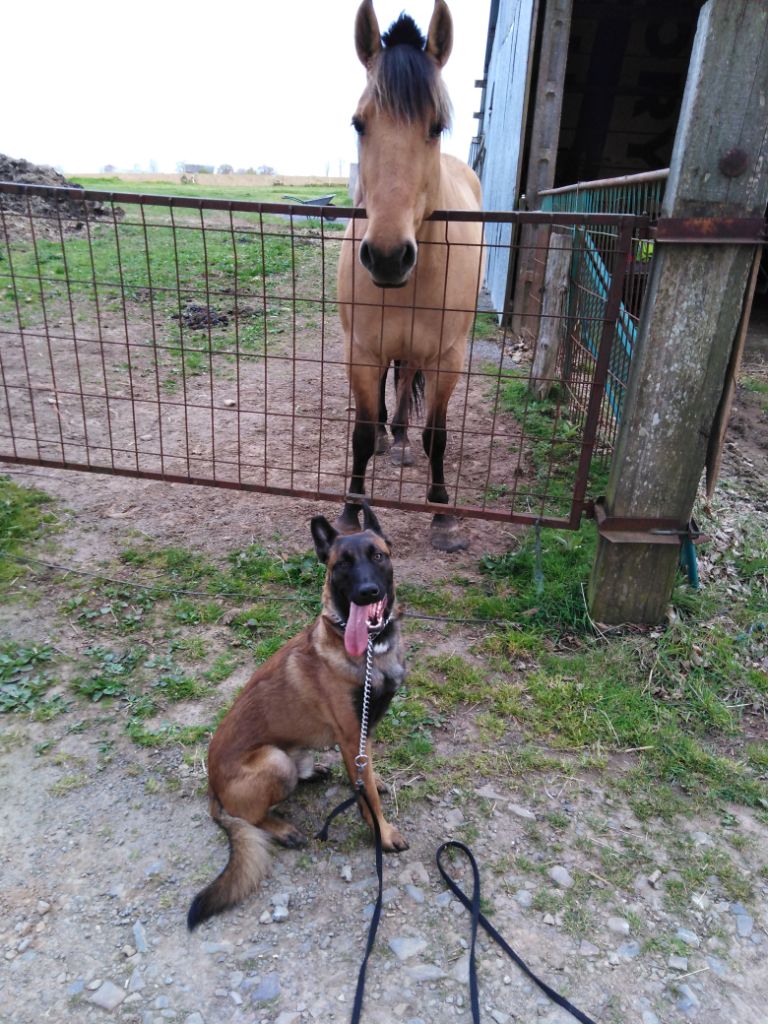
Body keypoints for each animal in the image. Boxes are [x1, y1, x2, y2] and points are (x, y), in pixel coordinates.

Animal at [186, 499, 409, 933]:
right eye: (342, 564)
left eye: (377, 556)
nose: (367, 592)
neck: (369, 651)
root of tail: (212, 788)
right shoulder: (349, 735)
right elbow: (369, 794)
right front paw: (383, 832)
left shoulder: (361, 734)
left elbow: (366, 776)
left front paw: (371, 790)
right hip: (273, 761)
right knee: (251, 818)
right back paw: (282, 829)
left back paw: (314, 772)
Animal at [337, 0, 483, 552]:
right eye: (359, 123)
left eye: (436, 125)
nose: (386, 256)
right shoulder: (360, 350)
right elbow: (360, 431)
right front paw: (351, 511)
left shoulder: (447, 358)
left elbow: (436, 435)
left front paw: (442, 515)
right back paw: (387, 437)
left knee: (404, 385)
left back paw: (398, 439)